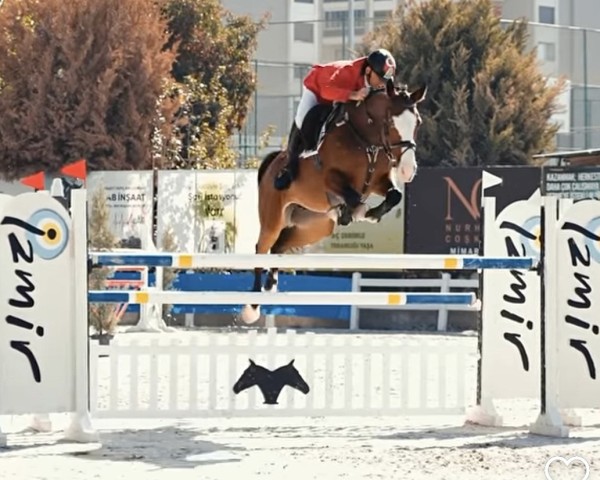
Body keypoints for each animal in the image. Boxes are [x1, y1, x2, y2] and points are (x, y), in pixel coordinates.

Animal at [239, 84, 426, 324]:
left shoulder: (380, 182)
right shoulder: (331, 179)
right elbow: (355, 198)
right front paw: (356, 212)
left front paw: (370, 214)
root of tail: (273, 163)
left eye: (417, 122)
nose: (408, 171)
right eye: (391, 123)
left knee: (279, 246)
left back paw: (270, 286)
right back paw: (251, 307)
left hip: (315, 227)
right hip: (273, 218)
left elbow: (395, 195)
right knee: (261, 248)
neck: (366, 140)